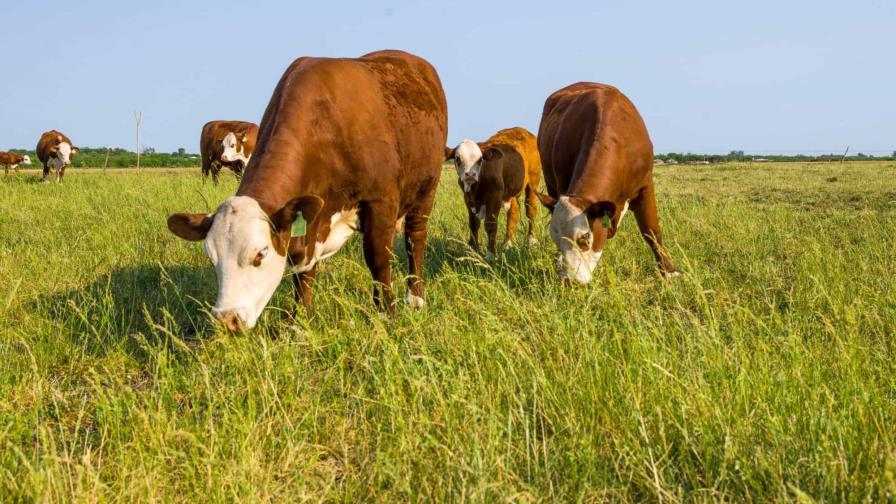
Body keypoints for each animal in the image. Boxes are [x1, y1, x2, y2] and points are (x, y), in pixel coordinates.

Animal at [166, 50, 446, 330]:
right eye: (212, 259)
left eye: (260, 255)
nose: (227, 319)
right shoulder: (309, 217)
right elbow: (303, 270)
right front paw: (300, 320)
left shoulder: (380, 202)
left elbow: (378, 259)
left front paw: (386, 314)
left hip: (426, 189)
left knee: (414, 239)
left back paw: (415, 297)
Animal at [536, 82, 676, 284]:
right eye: (555, 238)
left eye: (584, 238)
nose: (569, 281)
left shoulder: (645, 185)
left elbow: (651, 231)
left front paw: (669, 272)